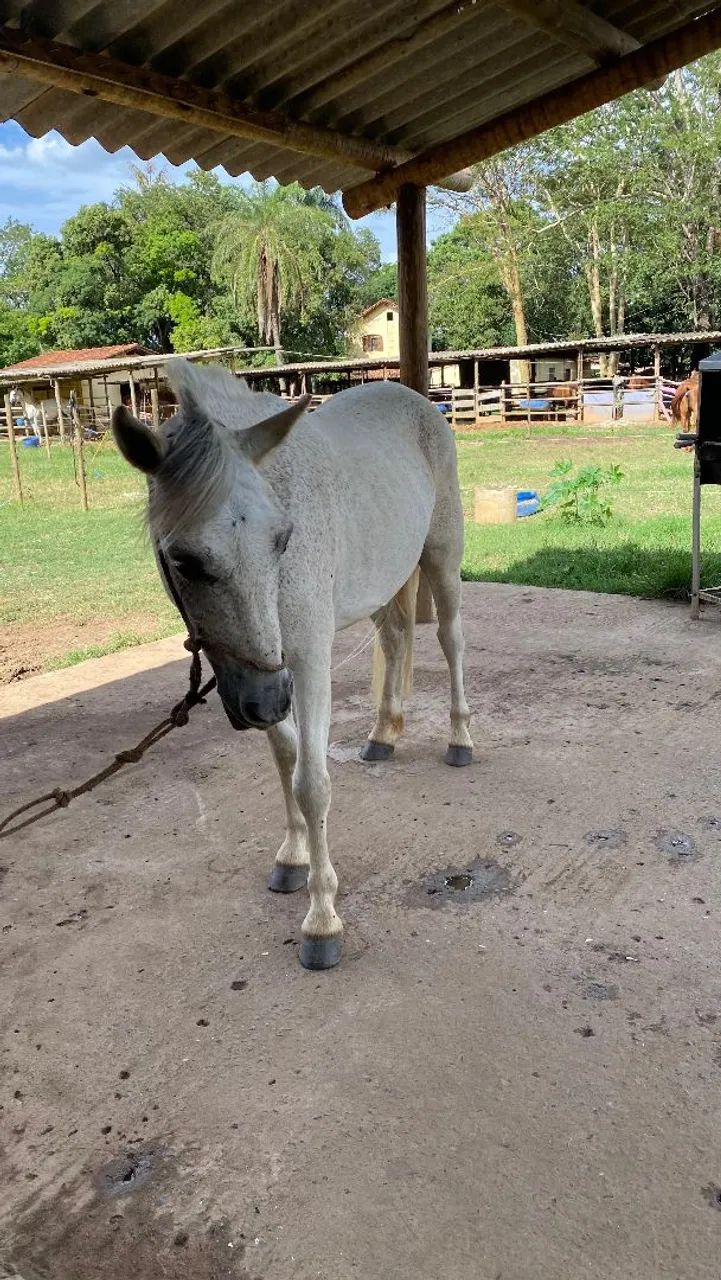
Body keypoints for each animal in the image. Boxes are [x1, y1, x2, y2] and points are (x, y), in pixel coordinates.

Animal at [112, 360, 472, 971]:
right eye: (182, 560)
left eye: (282, 539)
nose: (265, 701)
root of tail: (414, 398)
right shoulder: (261, 672)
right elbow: (285, 760)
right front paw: (293, 856)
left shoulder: (304, 660)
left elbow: (312, 782)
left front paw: (322, 919)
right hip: (378, 588)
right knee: (397, 638)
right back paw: (383, 734)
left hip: (442, 555)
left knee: (450, 641)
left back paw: (460, 739)